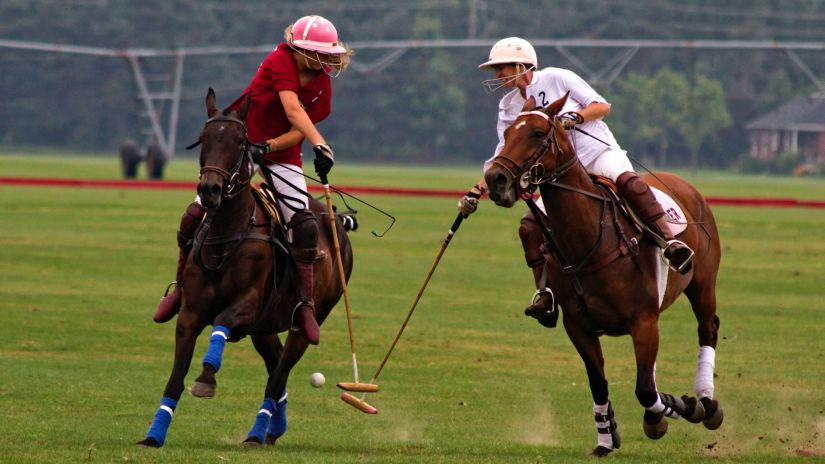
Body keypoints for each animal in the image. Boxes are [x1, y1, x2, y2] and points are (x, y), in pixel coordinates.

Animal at [138, 89, 350, 448]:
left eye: (240, 142)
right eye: (203, 139)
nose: (209, 189)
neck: (225, 235)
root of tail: (336, 220)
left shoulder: (247, 305)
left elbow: (222, 322)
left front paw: (207, 378)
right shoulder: (190, 313)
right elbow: (175, 378)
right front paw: (154, 435)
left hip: (305, 322)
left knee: (278, 375)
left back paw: (255, 433)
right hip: (264, 328)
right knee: (276, 367)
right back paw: (272, 430)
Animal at [482, 94, 720, 456]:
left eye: (537, 133)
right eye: (507, 133)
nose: (496, 179)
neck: (591, 239)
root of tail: (685, 185)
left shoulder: (643, 320)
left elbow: (645, 389)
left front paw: (681, 407)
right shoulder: (578, 325)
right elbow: (600, 382)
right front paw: (607, 438)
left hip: (703, 284)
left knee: (707, 330)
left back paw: (707, 403)